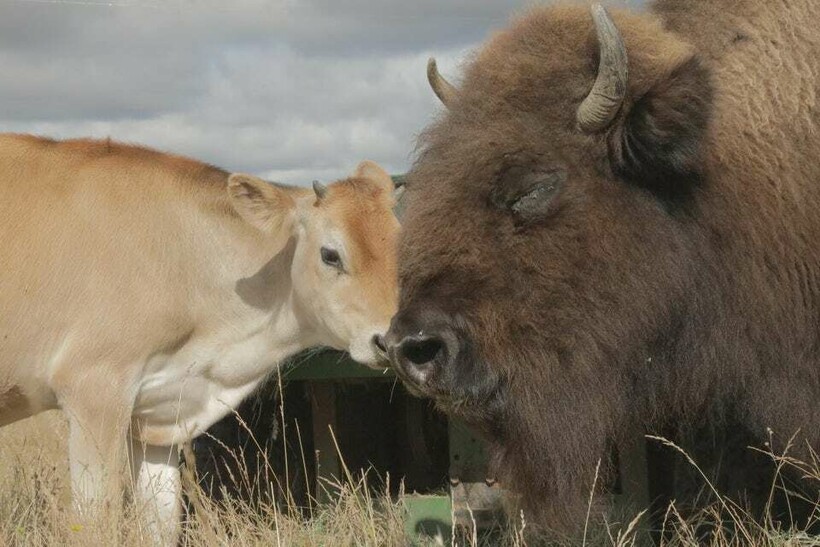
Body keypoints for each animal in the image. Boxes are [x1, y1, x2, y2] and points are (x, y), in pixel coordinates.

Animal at [0, 134, 400, 544]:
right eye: (330, 254)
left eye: (401, 246)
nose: (389, 340)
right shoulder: (93, 392)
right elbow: (96, 522)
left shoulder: (159, 416)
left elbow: (161, 523)